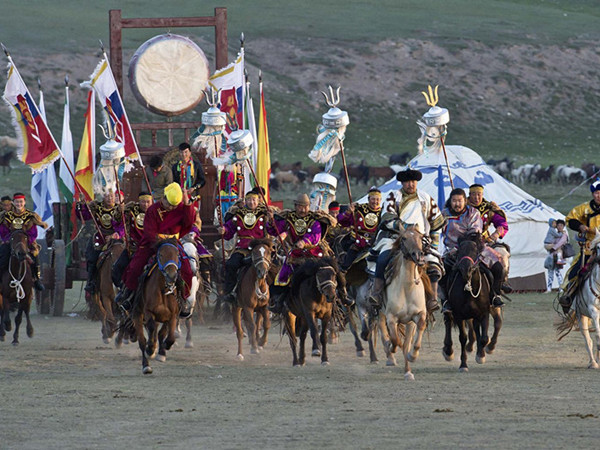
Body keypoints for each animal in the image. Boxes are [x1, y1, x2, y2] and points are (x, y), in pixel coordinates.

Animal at [134, 239, 183, 376]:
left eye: (177, 254)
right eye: (160, 255)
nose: (172, 276)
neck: (163, 289)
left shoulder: (173, 315)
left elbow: (169, 336)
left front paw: (165, 348)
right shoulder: (148, 312)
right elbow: (151, 329)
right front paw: (150, 349)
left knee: (160, 333)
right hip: (137, 315)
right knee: (142, 340)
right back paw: (146, 365)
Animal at [440, 232, 492, 372]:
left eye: (475, 250)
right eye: (460, 251)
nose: (465, 269)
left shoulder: (484, 313)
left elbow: (484, 338)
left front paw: (481, 355)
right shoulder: (459, 315)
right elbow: (463, 338)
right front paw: (463, 364)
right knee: (448, 322)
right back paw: (448, 351)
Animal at [556, 230, 600, 368]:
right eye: (597, 247)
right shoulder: (593, 310)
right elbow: (597, 335)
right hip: (581, 316)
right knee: (588, 340)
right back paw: (593, 362)